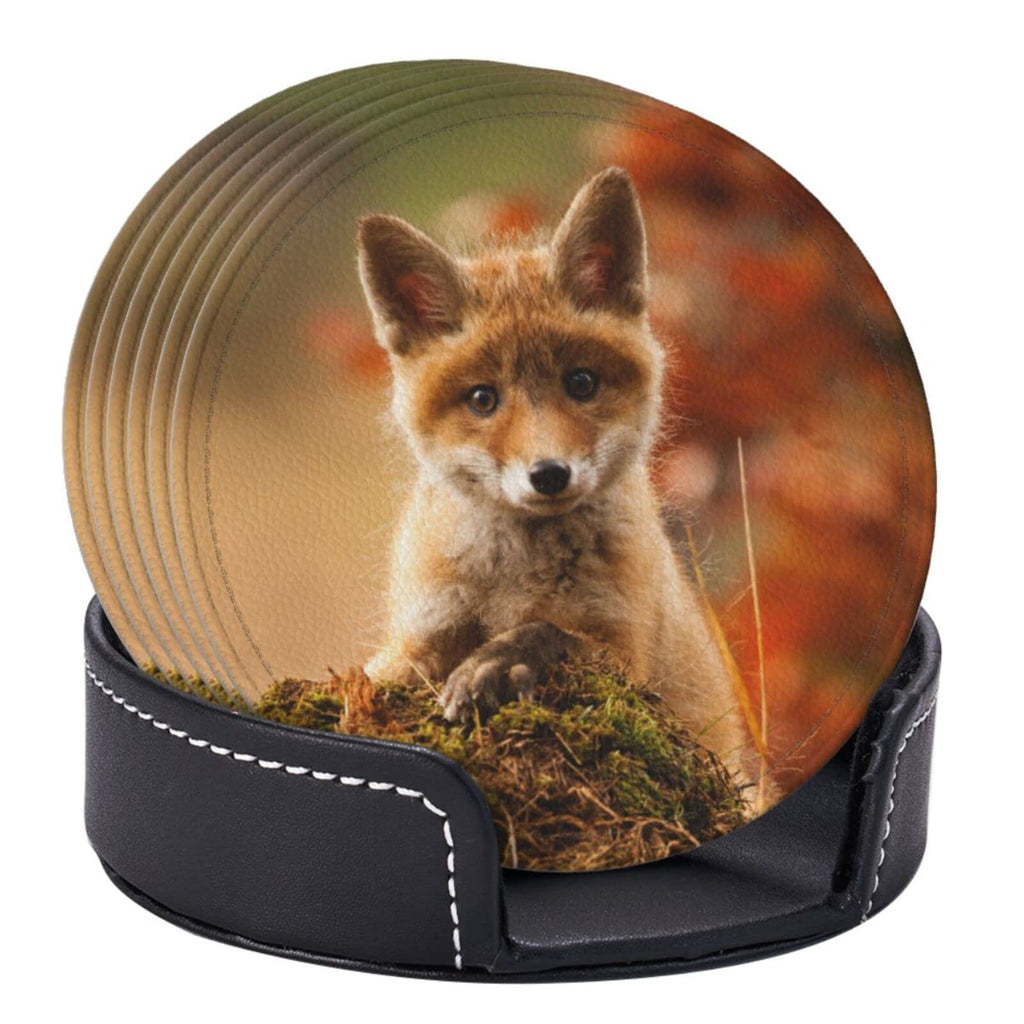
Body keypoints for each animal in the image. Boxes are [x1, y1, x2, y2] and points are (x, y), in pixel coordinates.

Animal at [356, 166, 760, 794]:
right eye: (483, 399)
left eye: (581, 382)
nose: (549, 474)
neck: (514, 577)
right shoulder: (419, 636)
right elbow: (375, 678)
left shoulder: (627, 657)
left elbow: (550, 634)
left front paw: (495, 665)